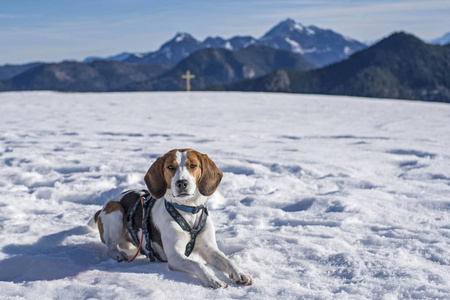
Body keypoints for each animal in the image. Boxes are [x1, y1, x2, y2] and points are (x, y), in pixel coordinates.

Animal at [86, 149, 251, 288]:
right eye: (170, 167)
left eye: (193, 165)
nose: (182, 183)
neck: (187, 211)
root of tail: (106, 204)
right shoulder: (175, 256)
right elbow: (197, 264)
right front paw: (212, 279)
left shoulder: (209, 249)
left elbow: (227, 261)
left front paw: (240, 273)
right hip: (115, 210)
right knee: (110, 247)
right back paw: (118, 254)